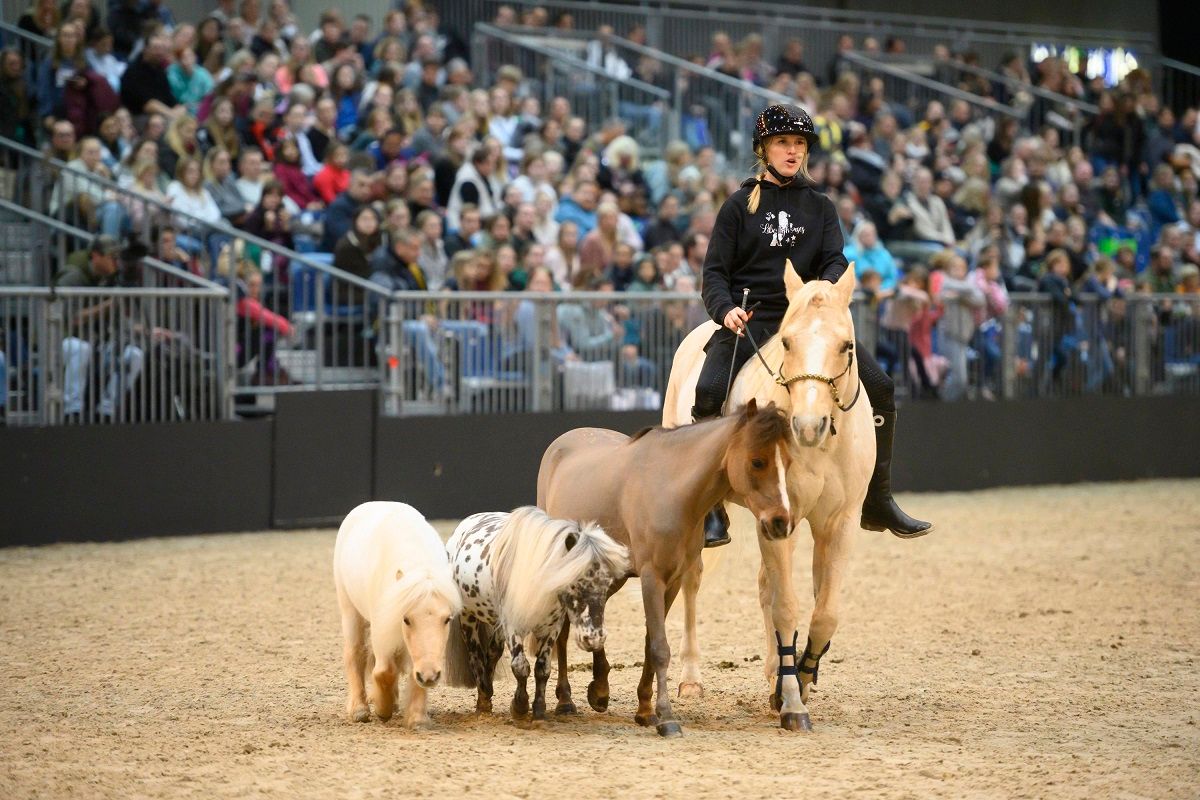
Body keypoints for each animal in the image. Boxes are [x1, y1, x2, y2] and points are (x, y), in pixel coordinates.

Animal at [332, 501, 463, 728]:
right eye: (406, 619)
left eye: (447, 619)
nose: (430, 676)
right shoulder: (381, 629)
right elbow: (384, 671)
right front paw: (382, 709)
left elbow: (411, 672)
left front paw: (417, 718)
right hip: (350, 612)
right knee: (355, 654)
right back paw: (359, 709)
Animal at [443, 506, 630, 721]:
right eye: (574, 582)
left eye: (607, 584)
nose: (594, 638)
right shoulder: (512, 626)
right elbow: (520, 666)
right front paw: (519, 707)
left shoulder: (551, 628)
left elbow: (542, 669)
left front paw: (539, 710)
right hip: (469, 618)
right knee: (476, 655)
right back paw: (483, 702)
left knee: (492, 653)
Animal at [537, 399, 794, 736]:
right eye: (757, 461)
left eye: (788, 462)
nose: (781, 522)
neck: (671, 489)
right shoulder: (652, 578)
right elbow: (660, 647)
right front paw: (667, 717)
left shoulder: (672, 582)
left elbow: (650, 645)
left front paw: (646, 710)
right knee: (564, 630)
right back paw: (566, 700)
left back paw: (600, 690)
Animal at [661, 263, 874, 731]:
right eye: (788, 341)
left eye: (846, 345)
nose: (809, 426)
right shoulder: (782, 521)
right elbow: (787, 606)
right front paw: (792, 702)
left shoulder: (839, 523)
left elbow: (824, 611)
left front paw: (800, 678)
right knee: (692, 580)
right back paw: (691, 679)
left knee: (763, 587)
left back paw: (775, 667)